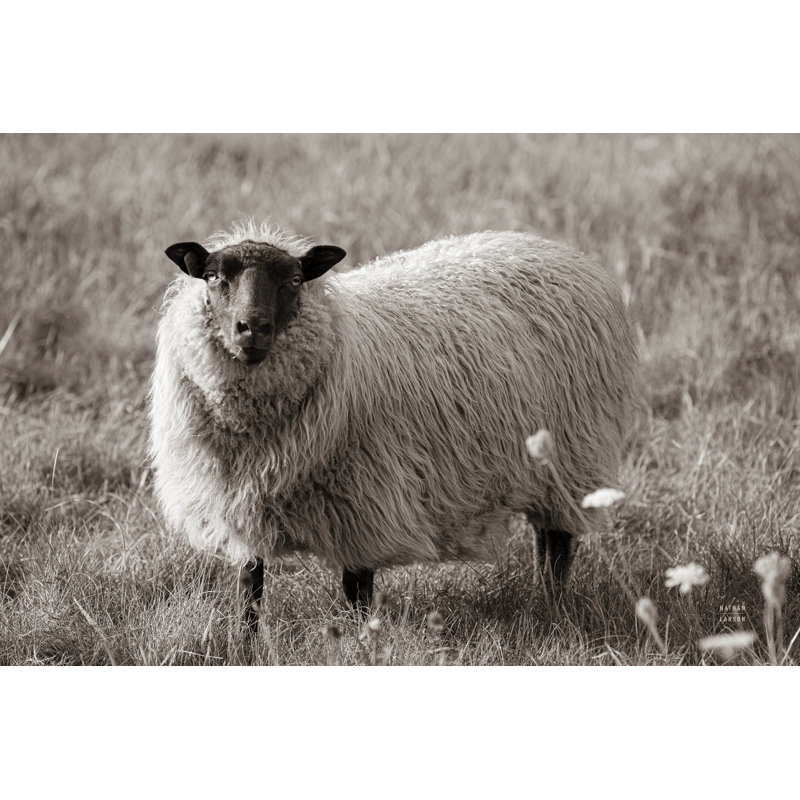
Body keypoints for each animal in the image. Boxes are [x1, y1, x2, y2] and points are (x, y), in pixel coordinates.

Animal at [150, 220, 637, 631]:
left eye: (294, 280)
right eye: (214, 276)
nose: (252, 329)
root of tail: (554, 248)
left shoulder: (364, 503)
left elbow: (357, 590)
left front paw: (361, 642)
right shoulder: (239, 505)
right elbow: (250, 586)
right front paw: (246, 643)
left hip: (573, 453)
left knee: (557, 543)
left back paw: (552, 604)